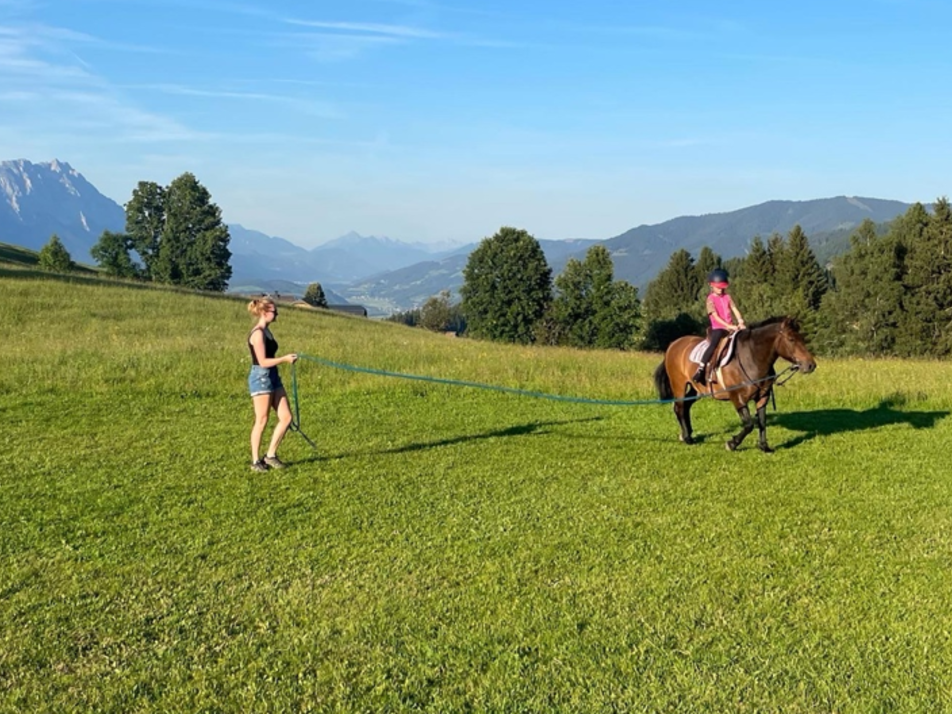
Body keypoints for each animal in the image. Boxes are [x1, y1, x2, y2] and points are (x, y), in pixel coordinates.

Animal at [656, 318, 820, 450]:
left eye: (802, 338)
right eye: (791, 339)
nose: (810, 365)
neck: (752, 358)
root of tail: (673, 344)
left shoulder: (763, 397)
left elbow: (761, 421)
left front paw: (764, 446)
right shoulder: (738, 398)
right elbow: (749, 424)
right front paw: (732, 443)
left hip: (697, 389)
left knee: (686, 406)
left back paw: (688, 434)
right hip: (679, 384)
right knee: (679, 407)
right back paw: (687, 438)